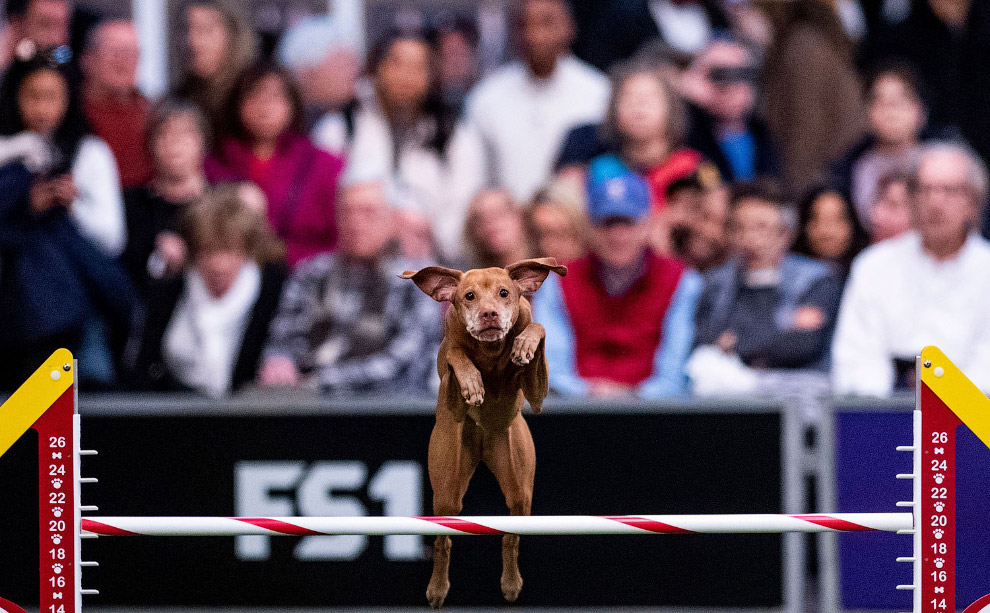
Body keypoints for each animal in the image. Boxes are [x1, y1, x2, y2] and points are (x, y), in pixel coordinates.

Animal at [404, 256, 568, 608]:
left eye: (505, 293)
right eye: (469, 296)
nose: (489, 314)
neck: (491, 354)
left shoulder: (537, 394)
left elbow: (539, 328)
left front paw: (523, 345)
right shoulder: (451, 391)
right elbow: (456, 354)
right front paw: (472, 381)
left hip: (519, 484)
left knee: (511, 536)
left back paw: (511, 582)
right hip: (447, 492)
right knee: (443, 542)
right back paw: (437, 588)